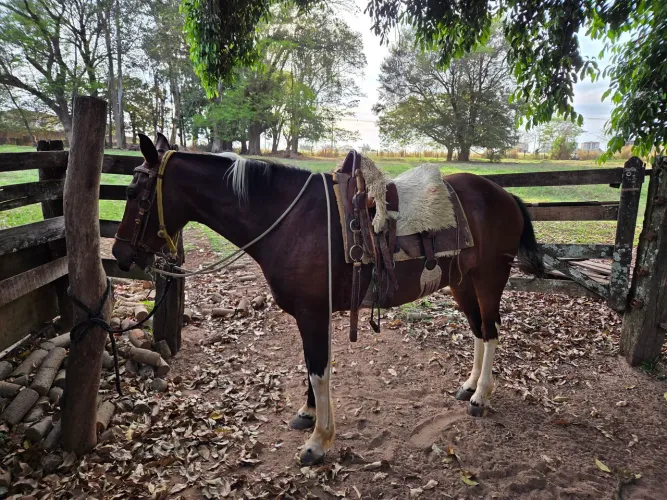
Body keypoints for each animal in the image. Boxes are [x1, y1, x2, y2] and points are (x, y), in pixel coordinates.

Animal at [112, 133, 545, 465]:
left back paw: (481, 397)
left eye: (133, 192)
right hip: (461, 283)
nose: (119, 254)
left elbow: (318, 370)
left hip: (489, 280)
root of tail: (505, 195)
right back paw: (470, 386)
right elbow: (311, 368)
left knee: (491, 331)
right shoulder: (310, 315)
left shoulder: (312, 313)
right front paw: (308, 414)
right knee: (478, 330)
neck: (291, 220)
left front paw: (318, 442)